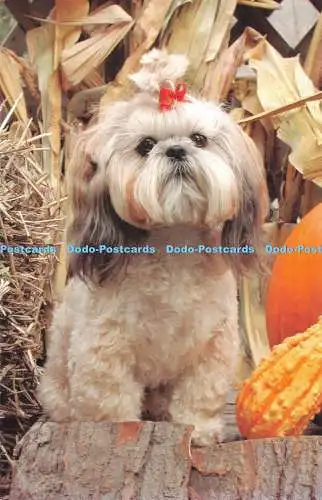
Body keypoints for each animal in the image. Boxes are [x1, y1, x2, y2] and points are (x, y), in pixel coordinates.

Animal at [39, 47, 268, 446]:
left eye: (199, 139)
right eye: (145, 145)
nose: (175, 150)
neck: (172, 244)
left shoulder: (211, 346)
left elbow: (199, 394)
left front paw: (199, 430)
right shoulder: (105, 348)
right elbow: (111, 397)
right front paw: (117, 431)